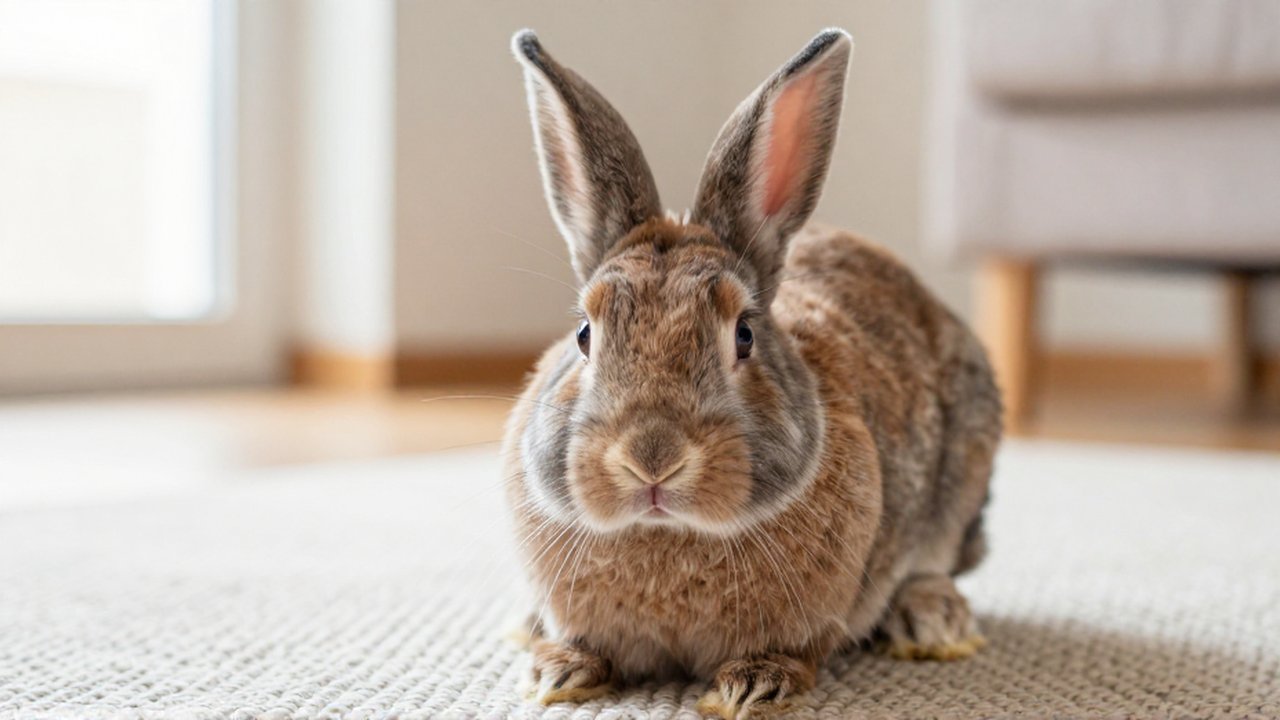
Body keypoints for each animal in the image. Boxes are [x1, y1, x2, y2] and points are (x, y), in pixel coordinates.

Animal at [503, 27, 1001, 719]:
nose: (652, 458)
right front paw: (558, 671)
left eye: (743, 335)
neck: (668, 534)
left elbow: (791, 653)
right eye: (584, 335)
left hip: (965, 473)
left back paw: (934, 623)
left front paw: (753, 685)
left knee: (939, 560)